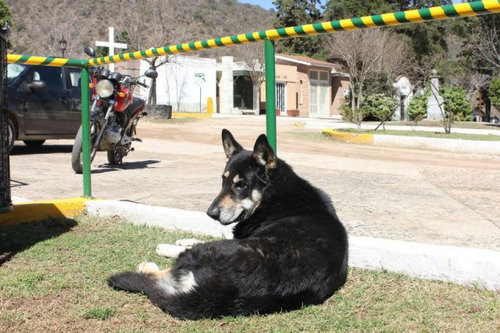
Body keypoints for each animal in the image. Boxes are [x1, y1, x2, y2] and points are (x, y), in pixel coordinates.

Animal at [106, 128, 348, 318]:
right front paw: (185, 238)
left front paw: (171, 245)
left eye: (241, 185)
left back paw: (149, 265)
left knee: (165, 272)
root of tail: (224, 289)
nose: (211, 213)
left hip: (211, 252)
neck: (273, 193)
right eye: (223, 181)